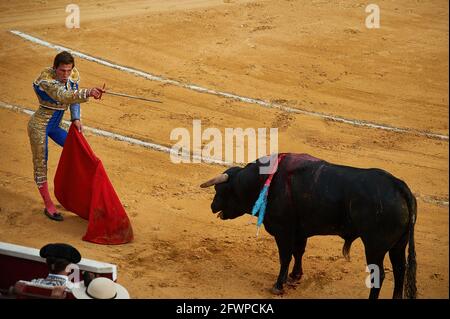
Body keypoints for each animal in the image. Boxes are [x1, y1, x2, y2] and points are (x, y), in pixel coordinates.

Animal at [200, 154, 418, 298]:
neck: (263, 181)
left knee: (379, 274)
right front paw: (295, 276)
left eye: (220, 189)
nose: (211, 206)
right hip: (398, 245)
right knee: (400, 270)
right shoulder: (299, 231)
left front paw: (278, 285)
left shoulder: (283, 231)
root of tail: (399, 186)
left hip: (374, 246)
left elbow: (285, 256)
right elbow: (298, 252)